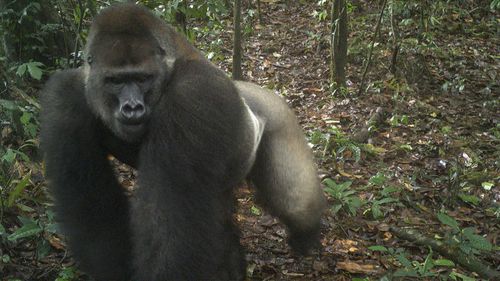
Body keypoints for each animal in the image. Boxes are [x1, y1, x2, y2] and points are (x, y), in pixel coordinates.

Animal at [41, 2, 326, 280]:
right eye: (115, 81)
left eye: (142, 78)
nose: (132, 108)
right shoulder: (65, 97)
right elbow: (92, 210)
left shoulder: (193, 97)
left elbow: (172, 230)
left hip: (279, 115)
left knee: (295, 204)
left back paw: (306, 233)